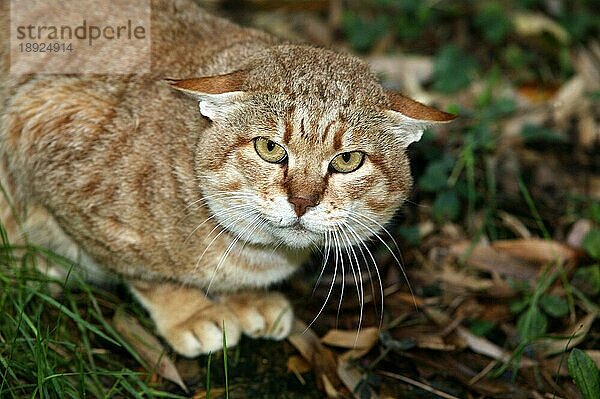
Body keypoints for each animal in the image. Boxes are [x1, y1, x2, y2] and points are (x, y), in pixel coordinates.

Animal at [0, 0, 452, 356]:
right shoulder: (36, 121)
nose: (302, 201)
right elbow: (145, 274)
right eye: (269, 148)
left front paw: (245, 298)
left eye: (348, 160)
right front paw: (190, 310)